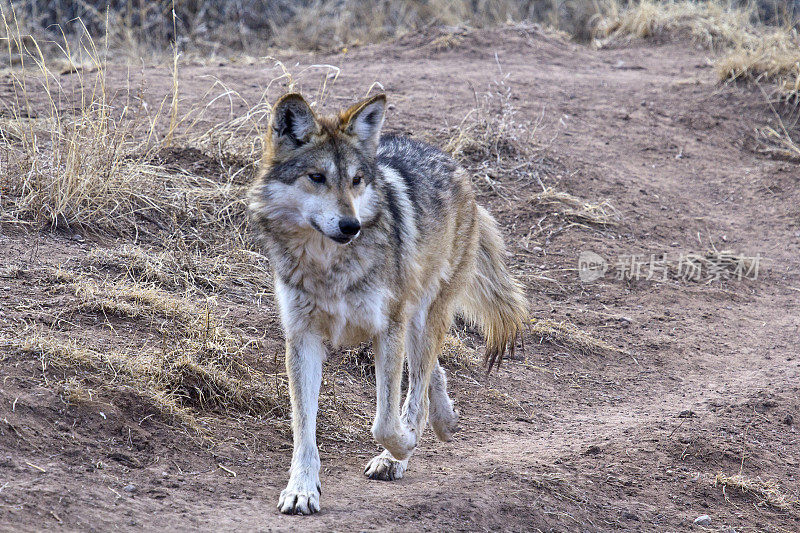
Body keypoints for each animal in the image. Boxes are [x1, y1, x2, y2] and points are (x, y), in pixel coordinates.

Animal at [247, 93, 528, 512]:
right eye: (317, 178)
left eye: (356, 181)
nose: (351, 226)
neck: (329, 265)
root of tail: (451, 162)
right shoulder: (302, 337)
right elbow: (303, 428)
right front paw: (301, 489)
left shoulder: (387, 329)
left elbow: (384, 422)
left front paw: (403, 446)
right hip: (414, 321)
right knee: (429, 374)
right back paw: (445, 419)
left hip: (422, 315)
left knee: (419, 383)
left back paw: (405, 449)